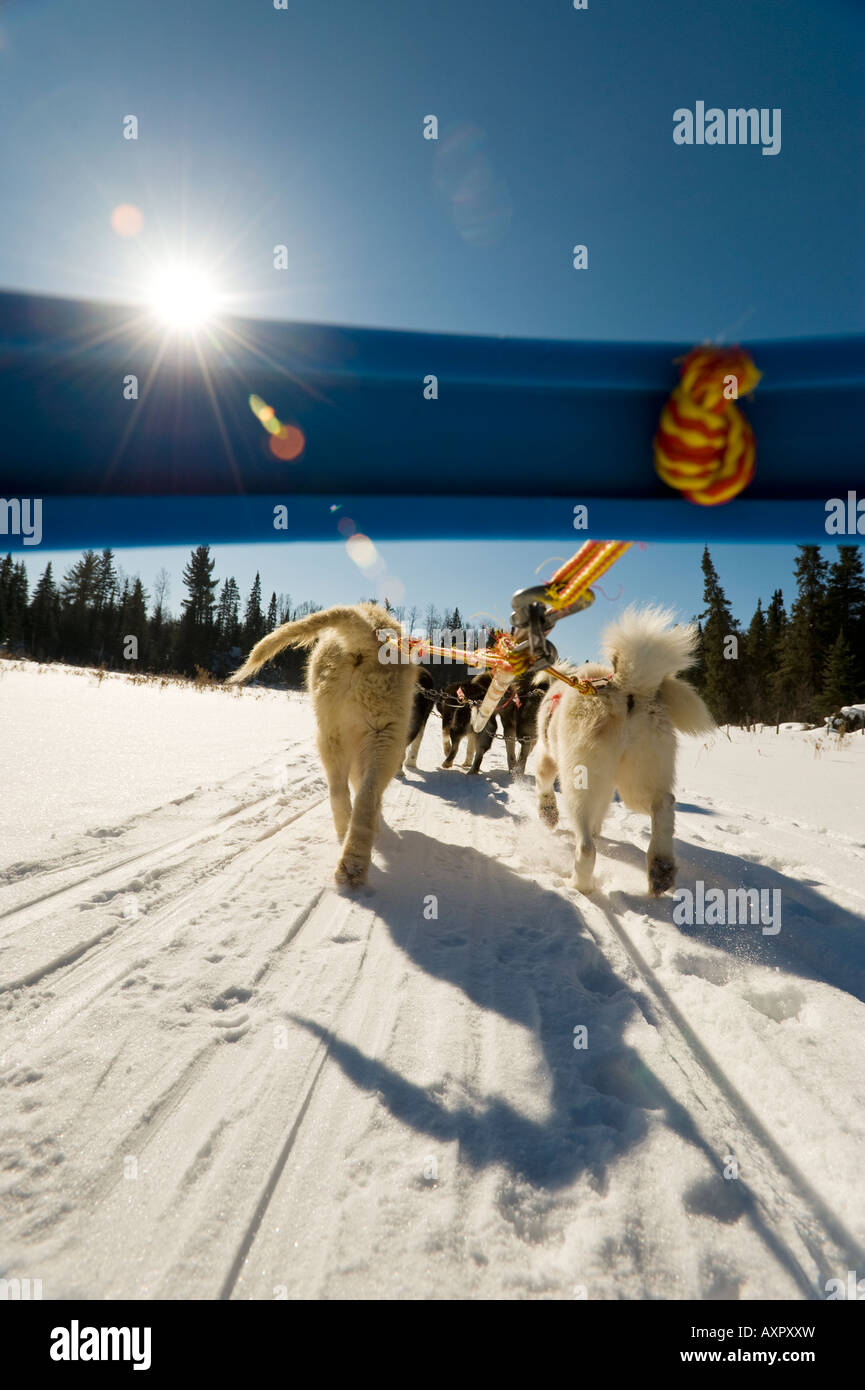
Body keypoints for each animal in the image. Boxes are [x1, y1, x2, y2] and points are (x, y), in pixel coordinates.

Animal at [229, 603, 419, 884]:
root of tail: (369, 634)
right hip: (384, 735)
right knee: (367, 796)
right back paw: (355, 864)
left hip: (330, 733)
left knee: (340, 792)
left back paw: (348, 855)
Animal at [539, 606, 717, 889]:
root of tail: (627, 691)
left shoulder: (546, 756)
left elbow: (543, 782)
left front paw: (547, 814)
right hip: (639, 777)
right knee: (663, 803)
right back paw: (661, 868)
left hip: (582, 780)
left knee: (586, 847)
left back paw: (579, 883)